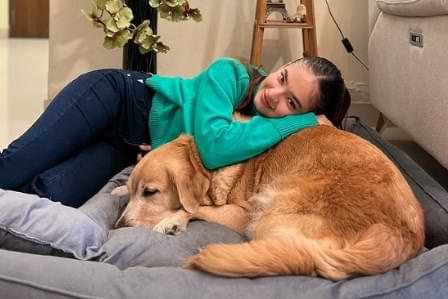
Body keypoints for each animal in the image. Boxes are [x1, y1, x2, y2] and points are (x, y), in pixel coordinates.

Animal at [112, 126, 424, 282]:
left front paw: (172, 219)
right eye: (137, 190)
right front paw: (118, 190)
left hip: (267, 209)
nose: (118, 226)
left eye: (150, 192)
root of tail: (400, 236)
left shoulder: (240, 213)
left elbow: (195, 208)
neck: (205, 163)